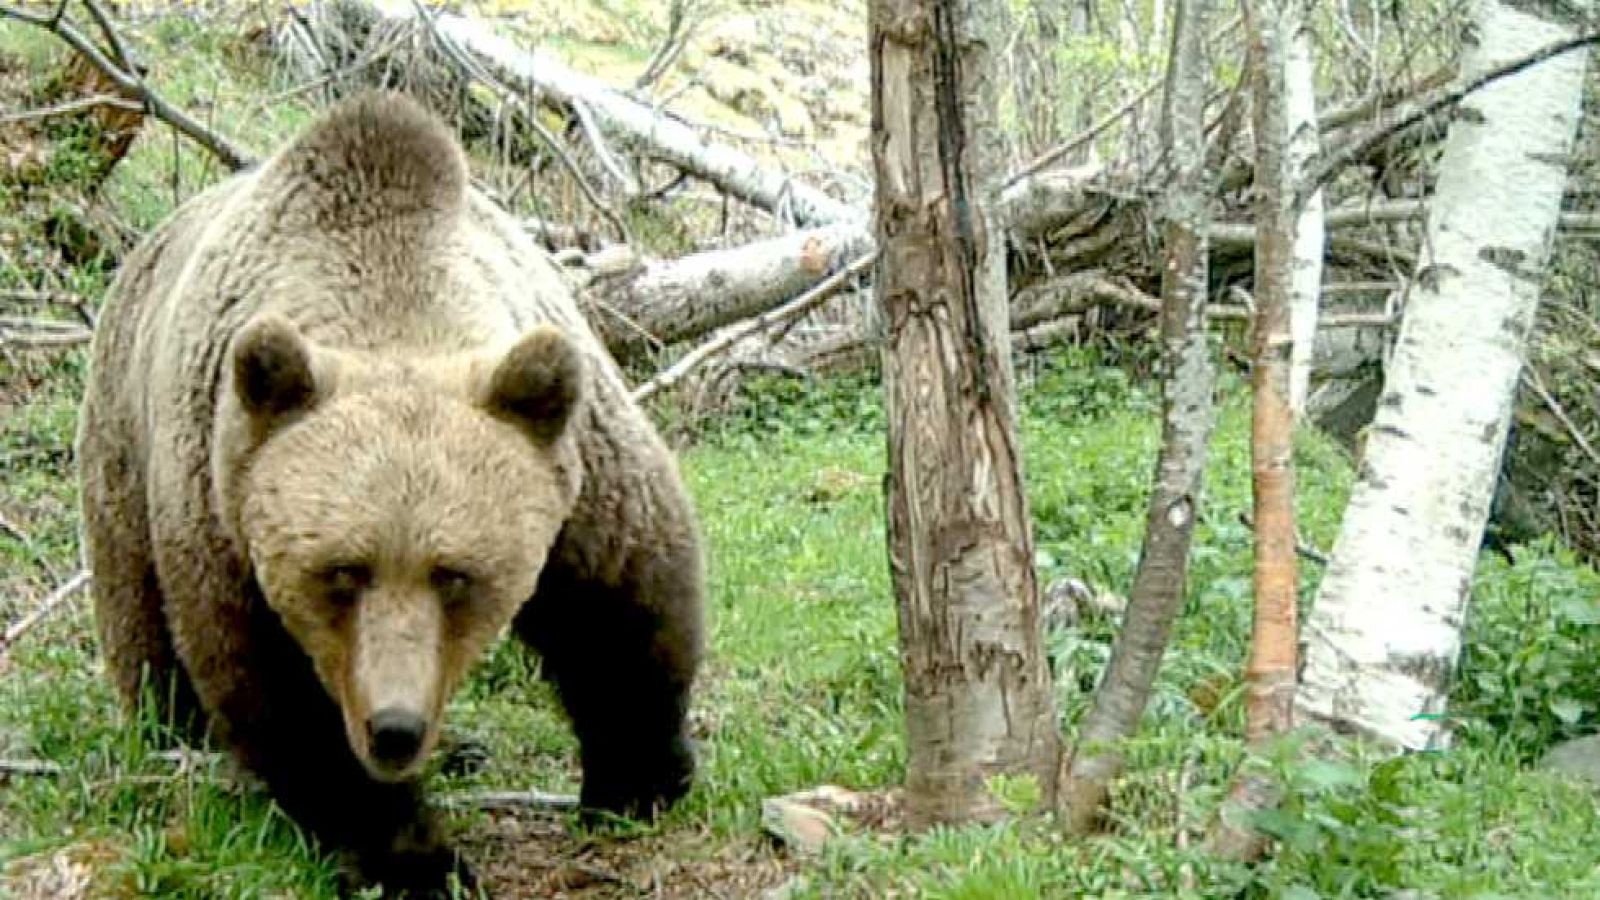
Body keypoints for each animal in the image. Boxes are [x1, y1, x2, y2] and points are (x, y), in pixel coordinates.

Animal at [75, 91, 705, 895]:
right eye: (342, 571)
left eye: (456, 574)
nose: (395, 727)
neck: (392, 293)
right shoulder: (226, 511)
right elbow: (283, 698)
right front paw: (416, 857)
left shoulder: (576, 462)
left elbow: (624, 598)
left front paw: (639, 779)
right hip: (123, 444)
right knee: (143, 626)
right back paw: (176, 731)